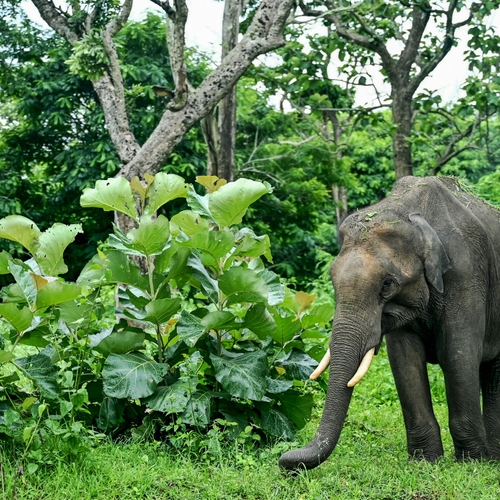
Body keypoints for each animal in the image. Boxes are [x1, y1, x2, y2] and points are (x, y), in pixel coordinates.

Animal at [280, 178, 500, 470]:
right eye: (332, 279)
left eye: (387, 284)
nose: (285, 463)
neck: (410, 214)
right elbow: (404, 359)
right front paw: (424, 461)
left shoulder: (466, 273)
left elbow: (457, 354)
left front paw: (472, 464)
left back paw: (492, 458)